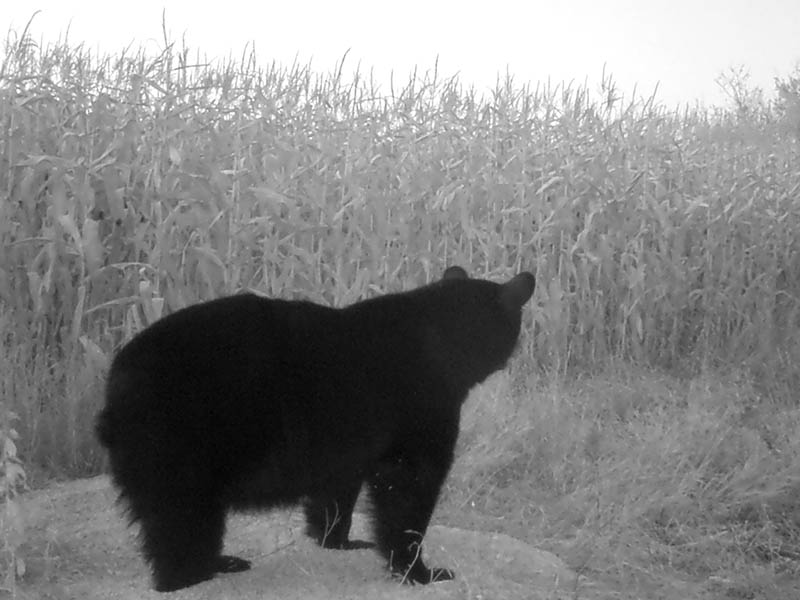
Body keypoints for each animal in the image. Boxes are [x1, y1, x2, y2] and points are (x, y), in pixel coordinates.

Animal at [97, 266, 536, 592]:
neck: (442, 343)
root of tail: (116, 382)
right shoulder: (420, 409)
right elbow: (409, 486)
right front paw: (421, 571)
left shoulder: (343, 438)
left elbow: (337, 487)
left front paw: (339, 540)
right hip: (180, 438)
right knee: (180, 515)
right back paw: (193, 575)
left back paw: (222, 560)